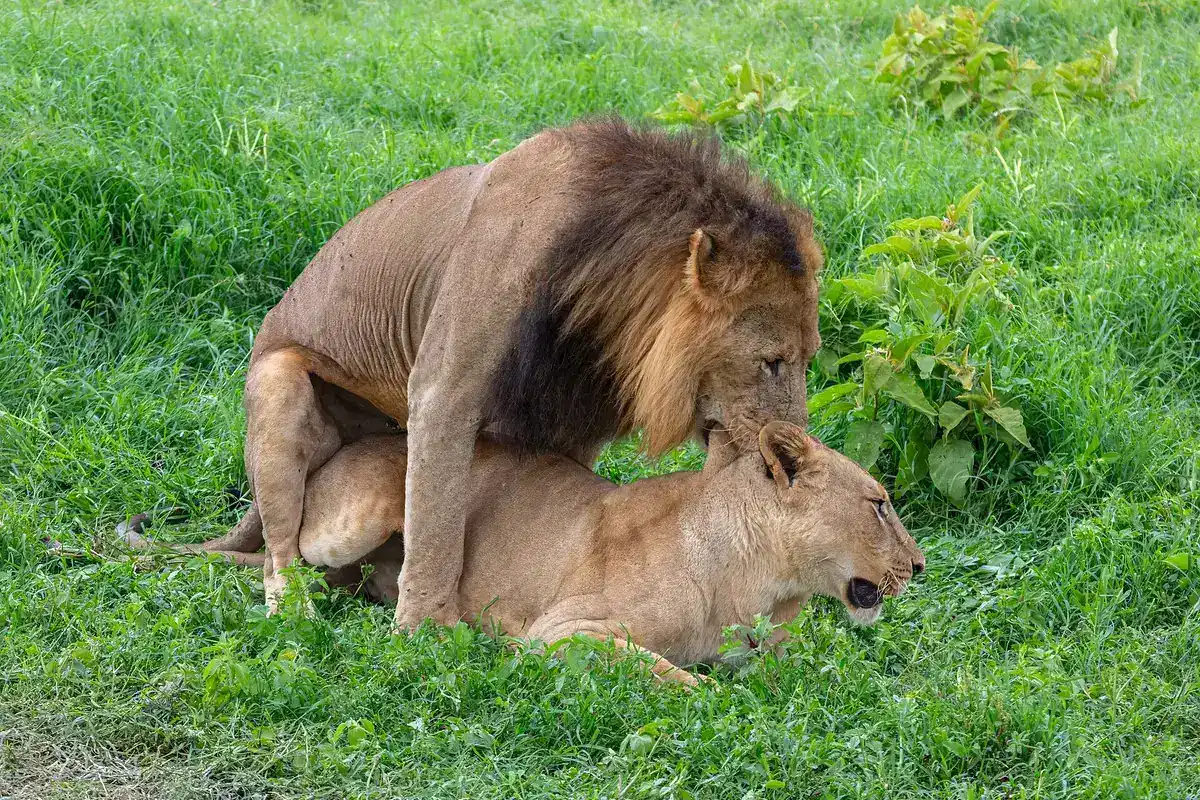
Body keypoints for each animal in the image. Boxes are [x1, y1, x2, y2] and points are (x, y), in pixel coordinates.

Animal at [126, 423, 924, 685]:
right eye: (879, 504)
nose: (919, 568)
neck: (767, 583)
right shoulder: (564, 633)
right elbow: (664, 671)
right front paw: (715, 699)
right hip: (366, 507)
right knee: (280, 551)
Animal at [240, 118, 823, 628]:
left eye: (810, 356)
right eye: (772, 362)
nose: (794, 449)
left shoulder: (570, 423)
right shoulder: (442, 392)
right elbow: (437, 523)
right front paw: (426, 630)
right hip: (280, 384)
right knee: (279, 548)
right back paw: (294, 610)